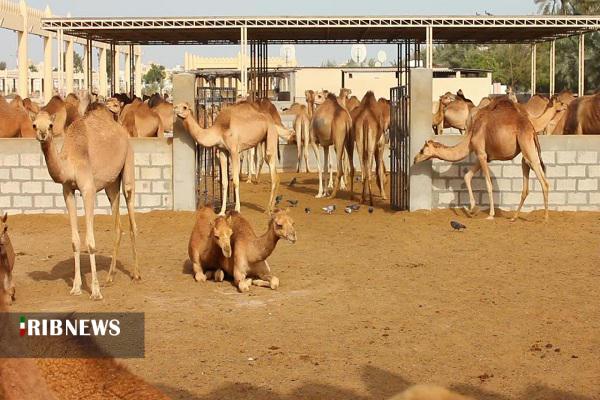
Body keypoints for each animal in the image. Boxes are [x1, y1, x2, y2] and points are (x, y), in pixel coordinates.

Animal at [33, 106, 141, 300]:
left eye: (51, 125)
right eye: (34, 124)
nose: (43, 134)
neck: (70, 162)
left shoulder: (88, 189)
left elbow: (90, 242)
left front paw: (95, 292)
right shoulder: (67, 191)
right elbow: (75, 241)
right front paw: (76, 288)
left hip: (128, 161)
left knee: (131, 213)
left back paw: (136, 274)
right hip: (111, 184)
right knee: (117, 225)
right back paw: (110, 277)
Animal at [414, 97, 552, 222]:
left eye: (422, 150)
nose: (415, 159)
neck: (470, 134)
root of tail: (532, 129)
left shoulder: (481, 153)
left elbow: (488, 184)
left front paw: (490, 214)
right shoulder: (485, 156)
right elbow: (467, 176)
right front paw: (472, 209)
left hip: (526, 144)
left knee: (543, 181)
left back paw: (545, 217)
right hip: (526, 151)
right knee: (526, 177)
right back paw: (514, 217)